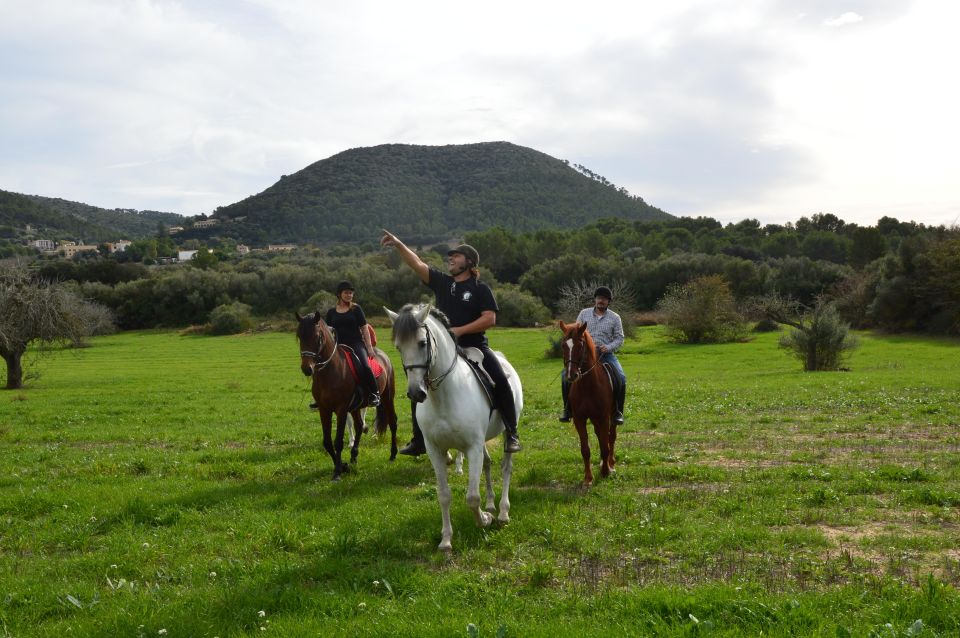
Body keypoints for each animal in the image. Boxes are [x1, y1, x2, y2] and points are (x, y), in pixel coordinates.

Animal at [292, 312, 398, 482]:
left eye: (317, 337)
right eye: (299, 336)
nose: (307, 369)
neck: (331, 371)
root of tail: (382, 355)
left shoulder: (341, 409)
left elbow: (338, 442)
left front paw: (337, 472)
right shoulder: (324, 409)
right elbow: (327, 442)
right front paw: (342, 466)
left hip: (388, 397)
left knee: (392, 422)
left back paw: (393, 454)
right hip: (356, 406)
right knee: (360, 425)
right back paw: (354, 456)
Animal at [384, 304, 524, 552]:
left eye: (422, 343)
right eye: (398, 347)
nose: (415, 393)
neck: (444, 396)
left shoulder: (473, 448)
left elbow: (472, 497)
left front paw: (484, 520)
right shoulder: (435, 450)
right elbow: (444, 495)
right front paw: (446, 539)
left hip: (507, 433)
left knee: (506, 468)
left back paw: (502, 513)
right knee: (488, 465)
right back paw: (491, 504)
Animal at [560, 322, 620, 488]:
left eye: (580, 345)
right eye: (563, 345)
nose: (571, 375)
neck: (587, 386)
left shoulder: (604, 418)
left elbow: (605, 446)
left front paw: (605, 471)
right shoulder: (579, 419)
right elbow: (585, 449)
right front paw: (588, 478)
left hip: (612, 416)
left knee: (611, 437)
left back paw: (611, 464)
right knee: (601, 436)